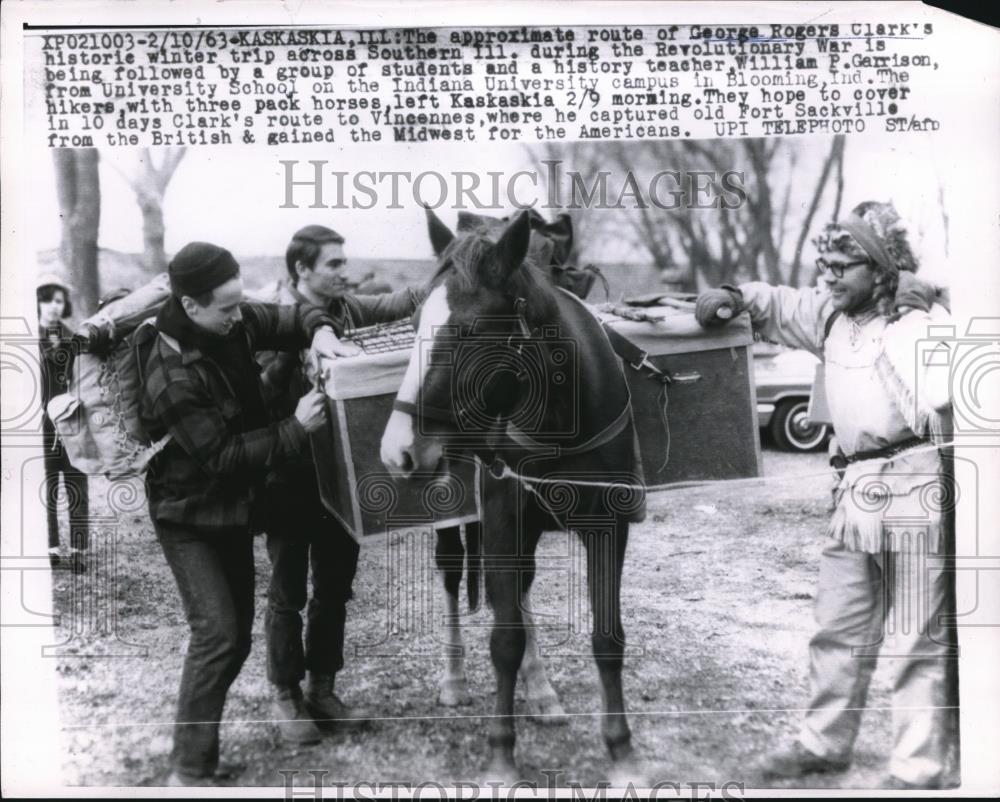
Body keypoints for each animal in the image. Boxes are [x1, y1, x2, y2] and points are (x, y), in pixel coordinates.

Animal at [378, 208, 644, 780]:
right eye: (413, 324)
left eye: (467, 330)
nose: (397, 450)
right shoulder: (502, 523)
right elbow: (504, 640)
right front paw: (501, 754)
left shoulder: (608, 526)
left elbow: (607, 637)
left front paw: (621, 750)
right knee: (454, 576)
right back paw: (455, 679)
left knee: (521, 593)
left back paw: (540, 689)